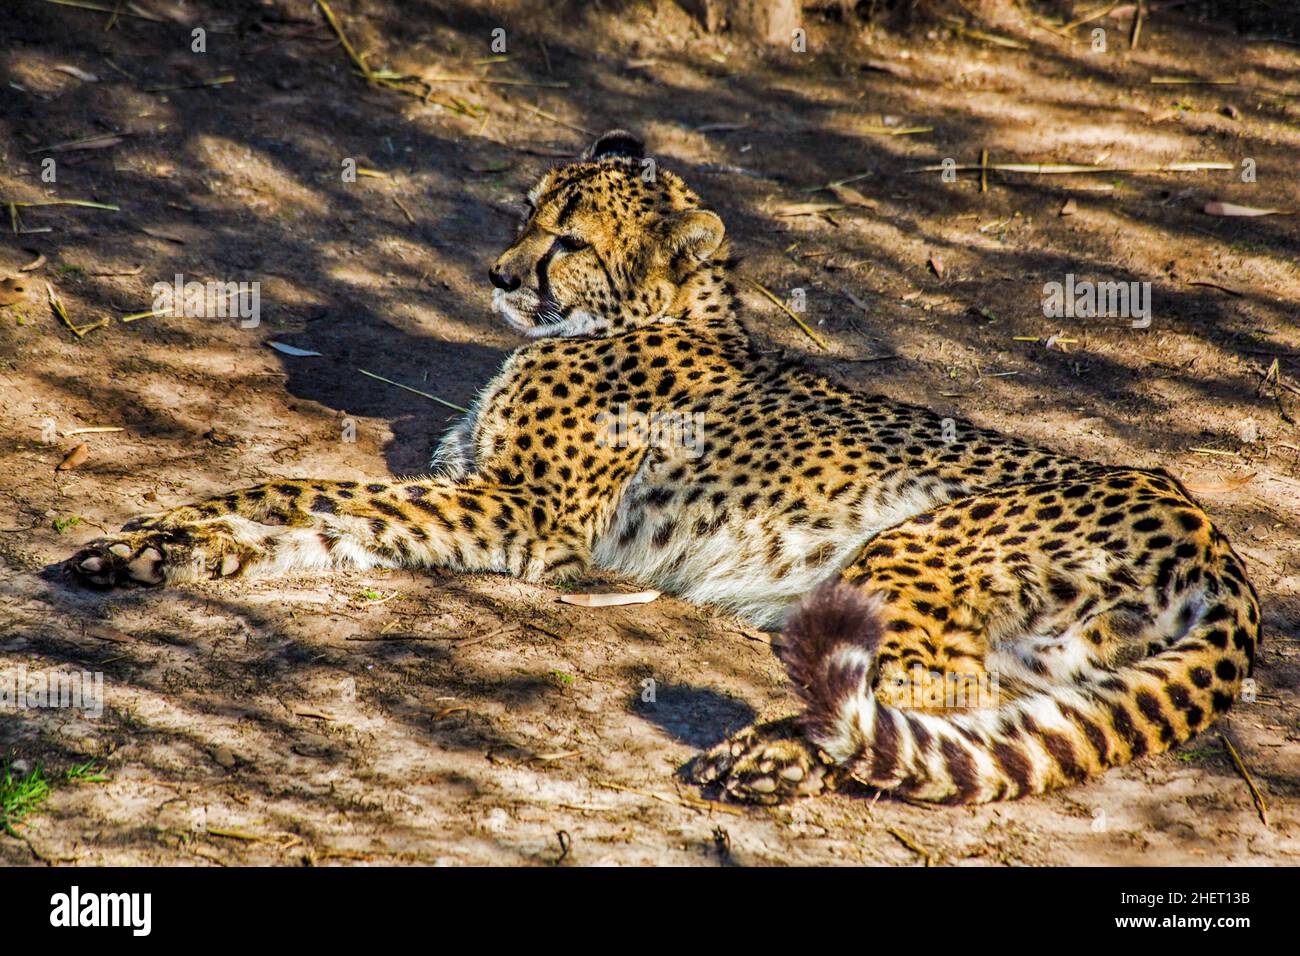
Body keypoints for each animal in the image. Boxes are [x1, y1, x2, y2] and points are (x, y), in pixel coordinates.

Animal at [67, 130, 1261, 806]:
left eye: (568, 240)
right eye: (524, 213)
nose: (497, 271)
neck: (645, 310)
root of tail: (1204, 524)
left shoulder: (517, 512)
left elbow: (318, 491)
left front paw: (162, 537)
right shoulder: (474, 495)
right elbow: (308, 511)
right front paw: (159, 548)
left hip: (905, 552)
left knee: (915, 689)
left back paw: (767, 758)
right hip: (1043, 654)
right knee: (954, 716)